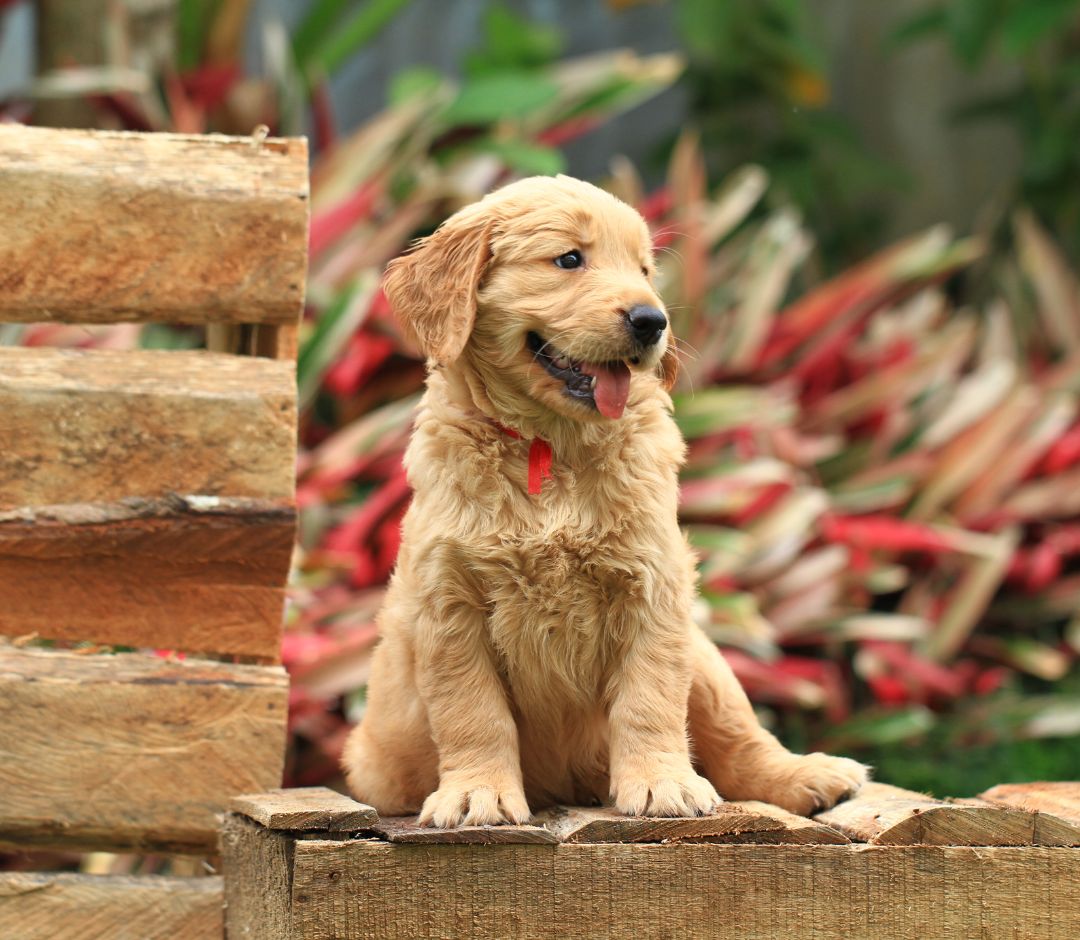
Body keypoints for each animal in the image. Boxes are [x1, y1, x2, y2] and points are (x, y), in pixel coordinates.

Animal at [341, 175, 864, 825]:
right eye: (569, 259)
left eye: (644, 269)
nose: (652, 320)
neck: (552, 447)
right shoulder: (447, 601)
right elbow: (472, 711)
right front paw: (478, 793)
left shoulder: (655, 585)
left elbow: (650, 697)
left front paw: (663, 783)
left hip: (706, 656)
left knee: (737, 735)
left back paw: (809, 774)